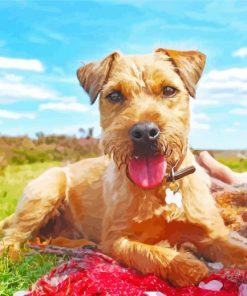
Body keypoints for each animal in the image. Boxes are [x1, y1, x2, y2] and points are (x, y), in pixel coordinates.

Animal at [0, 48, 247, 286]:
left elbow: (238, 251)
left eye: (169, 90)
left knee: (41, 239)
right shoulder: (116, 239)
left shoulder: (212, 234)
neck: (160, 187)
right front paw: (187, 265)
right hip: (48, 188)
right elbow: (146, 253)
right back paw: (15, 257)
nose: (145, 132)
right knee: (12, 237)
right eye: (115, 95)